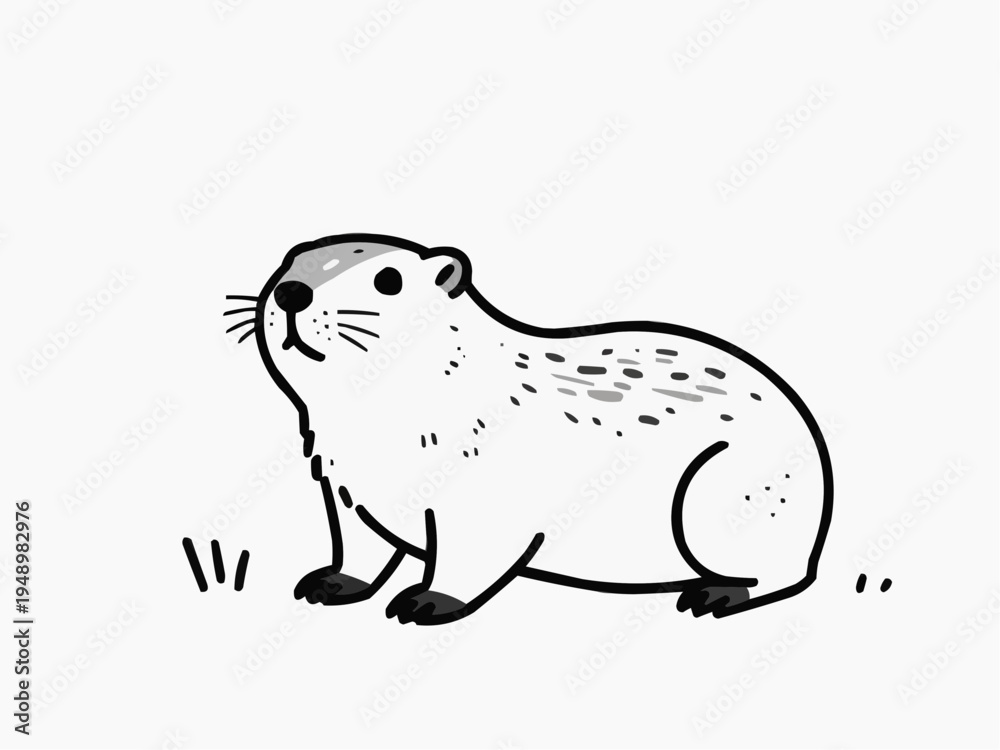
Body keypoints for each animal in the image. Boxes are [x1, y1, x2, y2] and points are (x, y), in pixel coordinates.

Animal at [227, 233, 832, 624]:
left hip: (729, 491)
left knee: (781, 572)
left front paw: (427, 600)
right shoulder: (343, 481)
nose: (292, 292)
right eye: (289, 261)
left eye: (389, 280)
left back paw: (717, 595)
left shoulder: (480, 482)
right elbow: (357, 542)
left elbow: (474, 549)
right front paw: (331, 581)